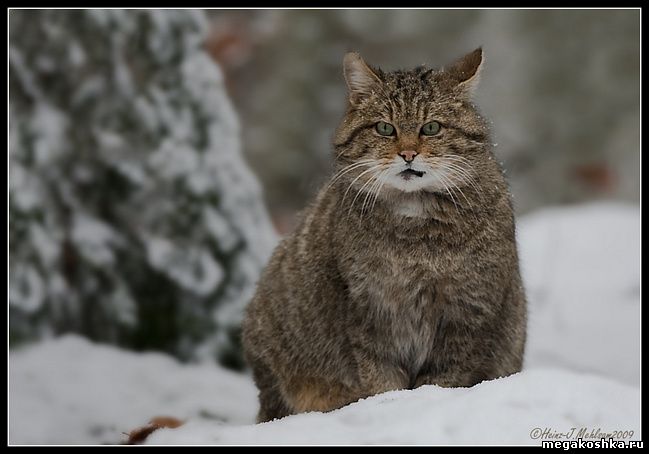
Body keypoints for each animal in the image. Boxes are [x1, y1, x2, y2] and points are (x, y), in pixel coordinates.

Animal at [240, 48, 524, 424]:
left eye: (431, 127)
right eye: (385, 128)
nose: (408, 154)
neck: (417, 238)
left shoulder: (469, 311)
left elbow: (443, 379)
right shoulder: (368, 311)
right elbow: (380, 381)